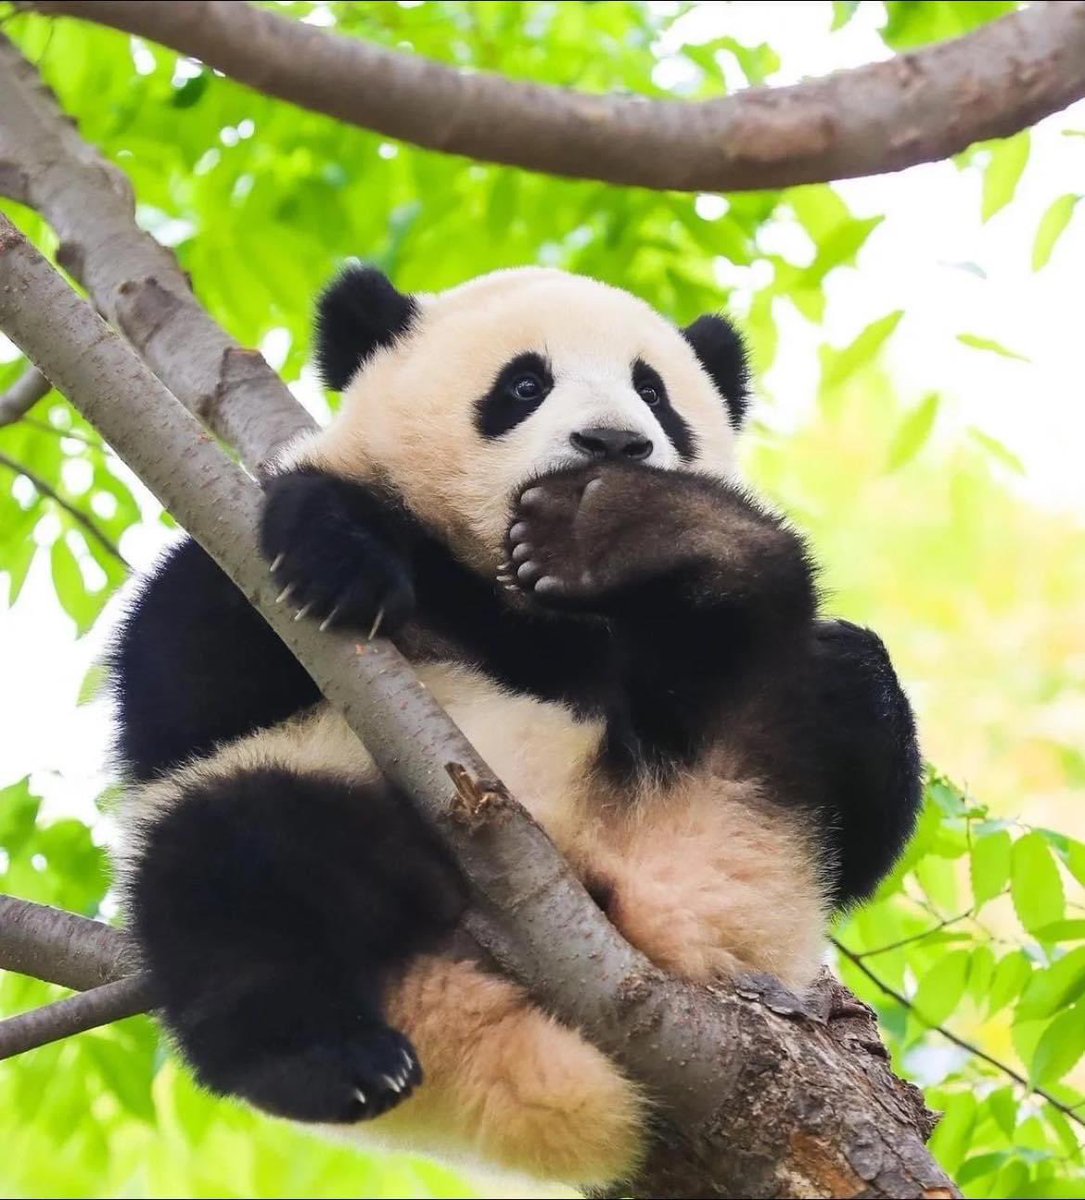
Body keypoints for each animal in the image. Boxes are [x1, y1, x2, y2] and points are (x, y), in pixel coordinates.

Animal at [110, 264, 921, 1190]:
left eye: (653, 391)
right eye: (523, 386)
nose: (613, 444)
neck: (514, 599)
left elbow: (862, 858)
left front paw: (604, 534)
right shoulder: (233, 559)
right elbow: (186, 679)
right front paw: (340, 559)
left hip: (748, 797)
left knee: (828, 675)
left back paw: (669, 536)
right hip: (334, 799)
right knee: (233, 868)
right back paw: (338, 1062)